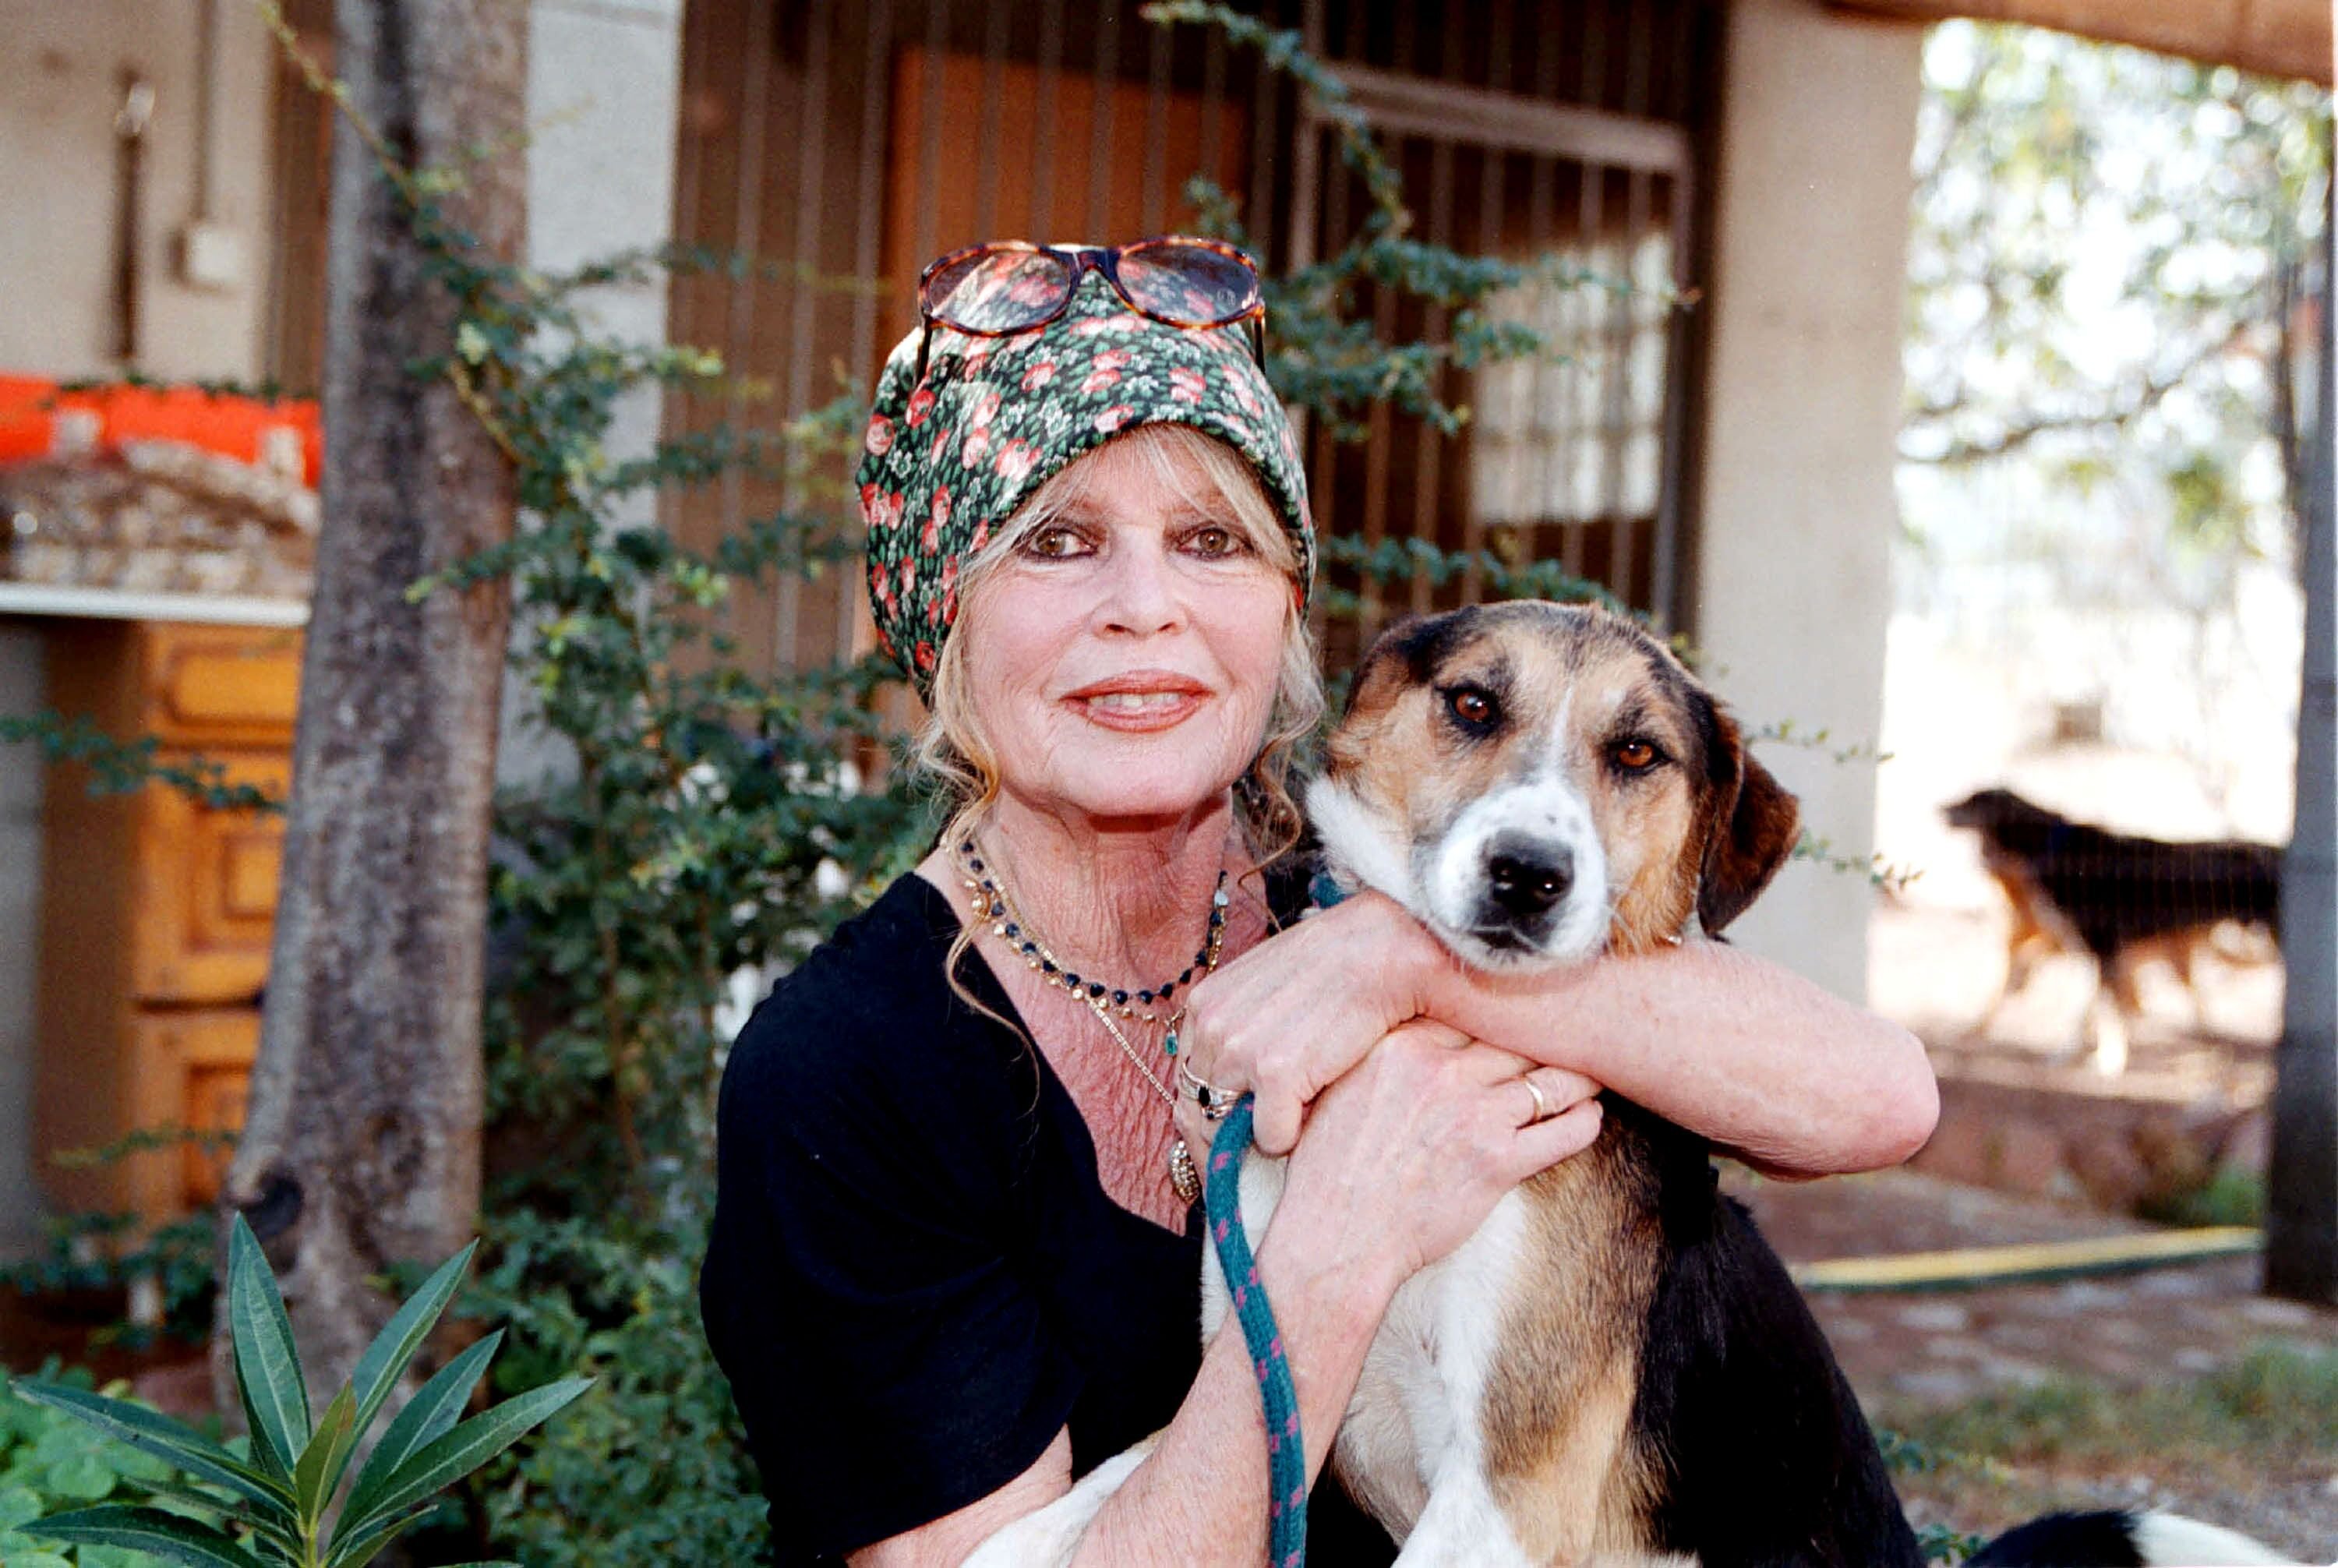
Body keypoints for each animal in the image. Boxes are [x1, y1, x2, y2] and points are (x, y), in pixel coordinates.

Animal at [1936, 789, 2282, 1075]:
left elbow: (2104, 1011)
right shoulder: (2090, 952)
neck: (2053, 849)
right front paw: (2072, 1053)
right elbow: (2089, 1009)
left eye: (1973, 799)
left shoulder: (2103, 950)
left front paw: (2109, 1061)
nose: (1941, 808)